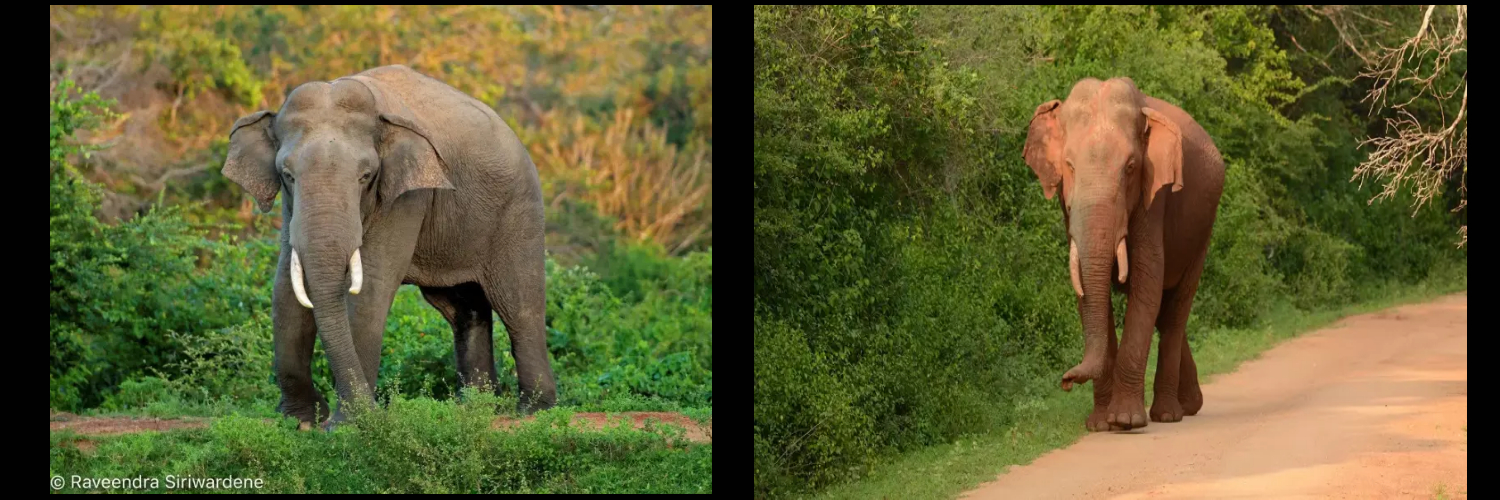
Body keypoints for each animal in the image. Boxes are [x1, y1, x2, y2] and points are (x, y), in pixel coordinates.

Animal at [219, 64, 555, 426]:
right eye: (287, 175)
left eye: (366, 177)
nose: (374, 408)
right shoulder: (291, 205)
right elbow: (285, 286)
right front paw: (301, 421)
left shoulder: (407, 197)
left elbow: (371, 289)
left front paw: (349, 424)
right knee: (465, 309)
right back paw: (475, 408)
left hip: (518, 213)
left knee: (518, 306)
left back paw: (534, 411)